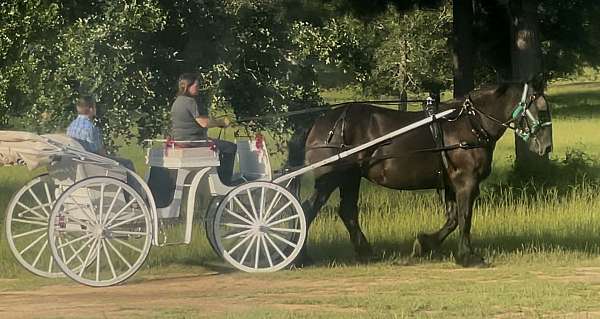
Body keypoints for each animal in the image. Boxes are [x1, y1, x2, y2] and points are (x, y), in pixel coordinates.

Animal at [300, 82, 552, 268]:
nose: (547, 147)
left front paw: (424, 244)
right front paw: (467, 257)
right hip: (330, 178)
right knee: (307, 209)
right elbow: (465, 217)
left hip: (350, 177)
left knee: (347, 212)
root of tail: (320, 122)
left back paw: (365, 253)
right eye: (541, 109)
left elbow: (452, 219)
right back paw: (301, 257)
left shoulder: (451, 183)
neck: (469, 123)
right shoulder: (466, 181)